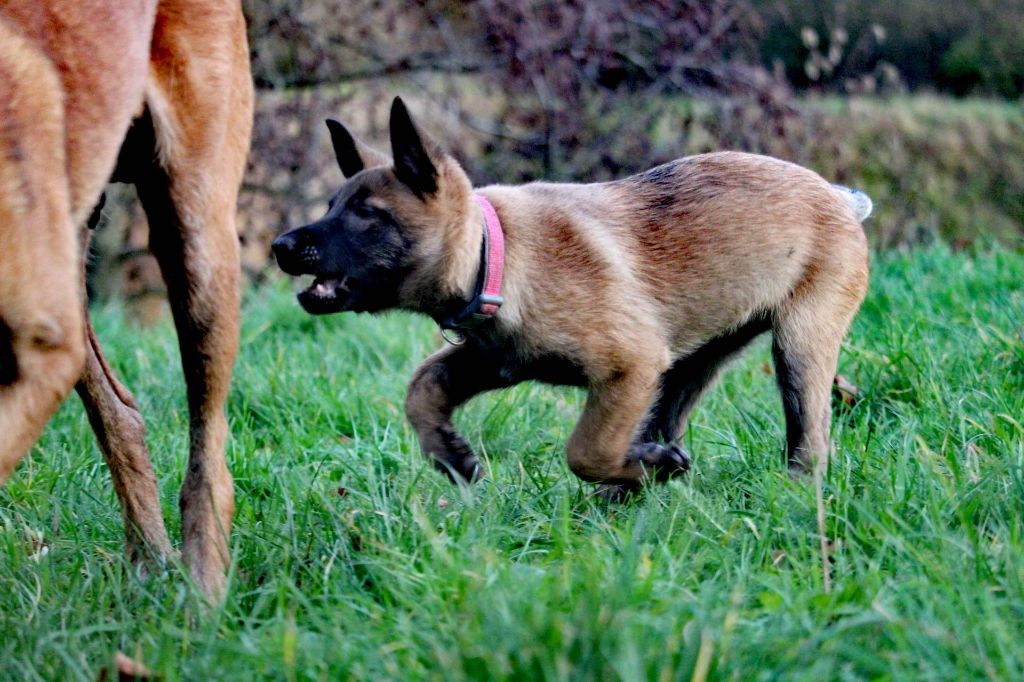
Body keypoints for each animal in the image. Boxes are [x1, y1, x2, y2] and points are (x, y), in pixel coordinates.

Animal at [274, 95, 872, 489]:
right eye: (330, 206)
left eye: (366, 215)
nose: (281, 245)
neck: (497, 255)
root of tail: (840, 196)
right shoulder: (494, 360)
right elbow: (421, 388)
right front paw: (451, 456)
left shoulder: (629, 366)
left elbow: (586, 448)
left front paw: (645, 468)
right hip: (691, 361)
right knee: (669, 416)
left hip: (797, 345)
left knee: (810, 436)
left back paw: (788, 491)